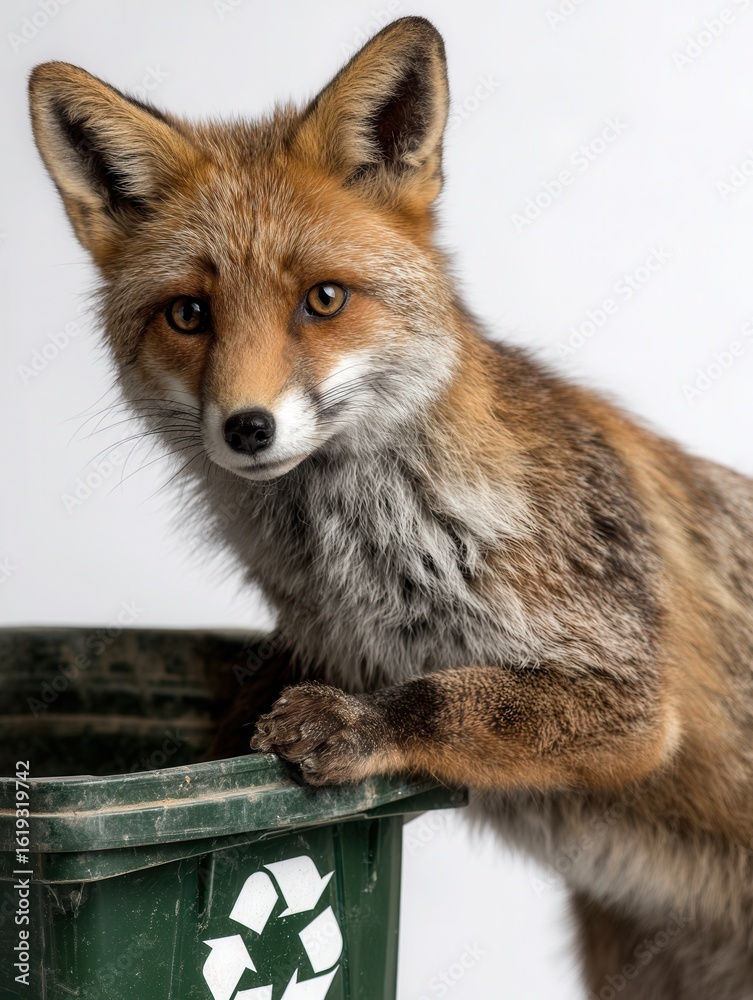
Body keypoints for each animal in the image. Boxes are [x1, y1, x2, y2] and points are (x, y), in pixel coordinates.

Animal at [27, 15, 753, 999]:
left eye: (323, 299)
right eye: (188, 314)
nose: (247, 427)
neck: (366, 568)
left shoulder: (631, 693)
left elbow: (445, 698)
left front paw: (366, 724)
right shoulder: (308, 635)